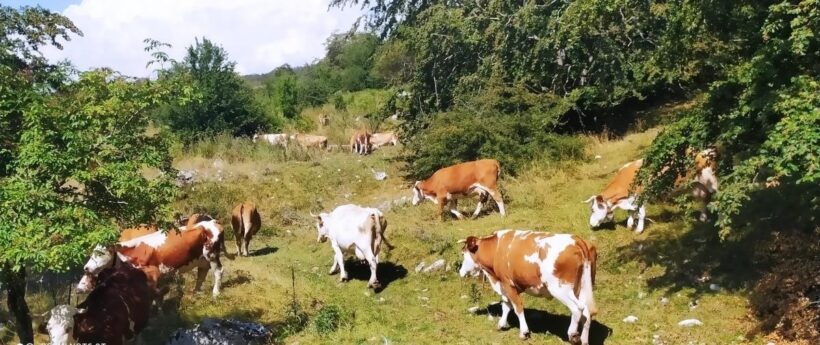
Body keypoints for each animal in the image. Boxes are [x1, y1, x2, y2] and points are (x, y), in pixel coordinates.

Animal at [79, 219, 226, 296]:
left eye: (100, 253)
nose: (85, 267)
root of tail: (213, 222)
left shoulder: (152, 272)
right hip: (202, 258)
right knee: (202, 272)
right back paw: (195, 292)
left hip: (211, 254)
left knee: (218, 271)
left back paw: (215, 293)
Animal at [458, 228, 600, 344]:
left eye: (464, 254)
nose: (461, 272)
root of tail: (577, 240)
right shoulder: (505, 286)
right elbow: (506, 306)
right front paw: (501, 324)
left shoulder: (507, 284)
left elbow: (517, 307)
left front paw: (524, 332)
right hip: (583, 287)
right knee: (587, 312)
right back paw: (584, 340)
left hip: (560, 288)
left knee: (577, 309)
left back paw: (572, 334)